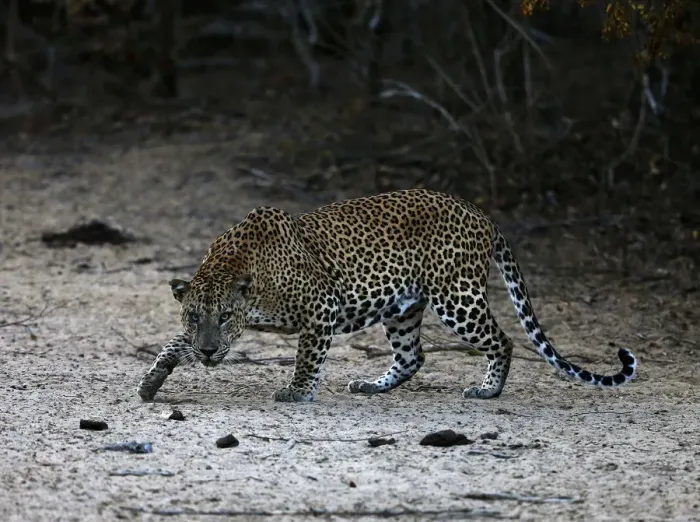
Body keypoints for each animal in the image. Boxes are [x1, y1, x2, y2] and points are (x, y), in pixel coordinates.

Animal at [137, 189, 637, 402]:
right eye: (195, 316)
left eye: (224, 316)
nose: (208, 351)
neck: (243, 271)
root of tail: (480, 214)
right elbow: (173, 345)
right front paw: (153, 378)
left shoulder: (321, 308)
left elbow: (306, 357)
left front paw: (297, 392)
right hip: (403, 308)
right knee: (413, 355)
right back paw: (372, 385)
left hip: (457, 297)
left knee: (504, 340)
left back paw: (487, 390)